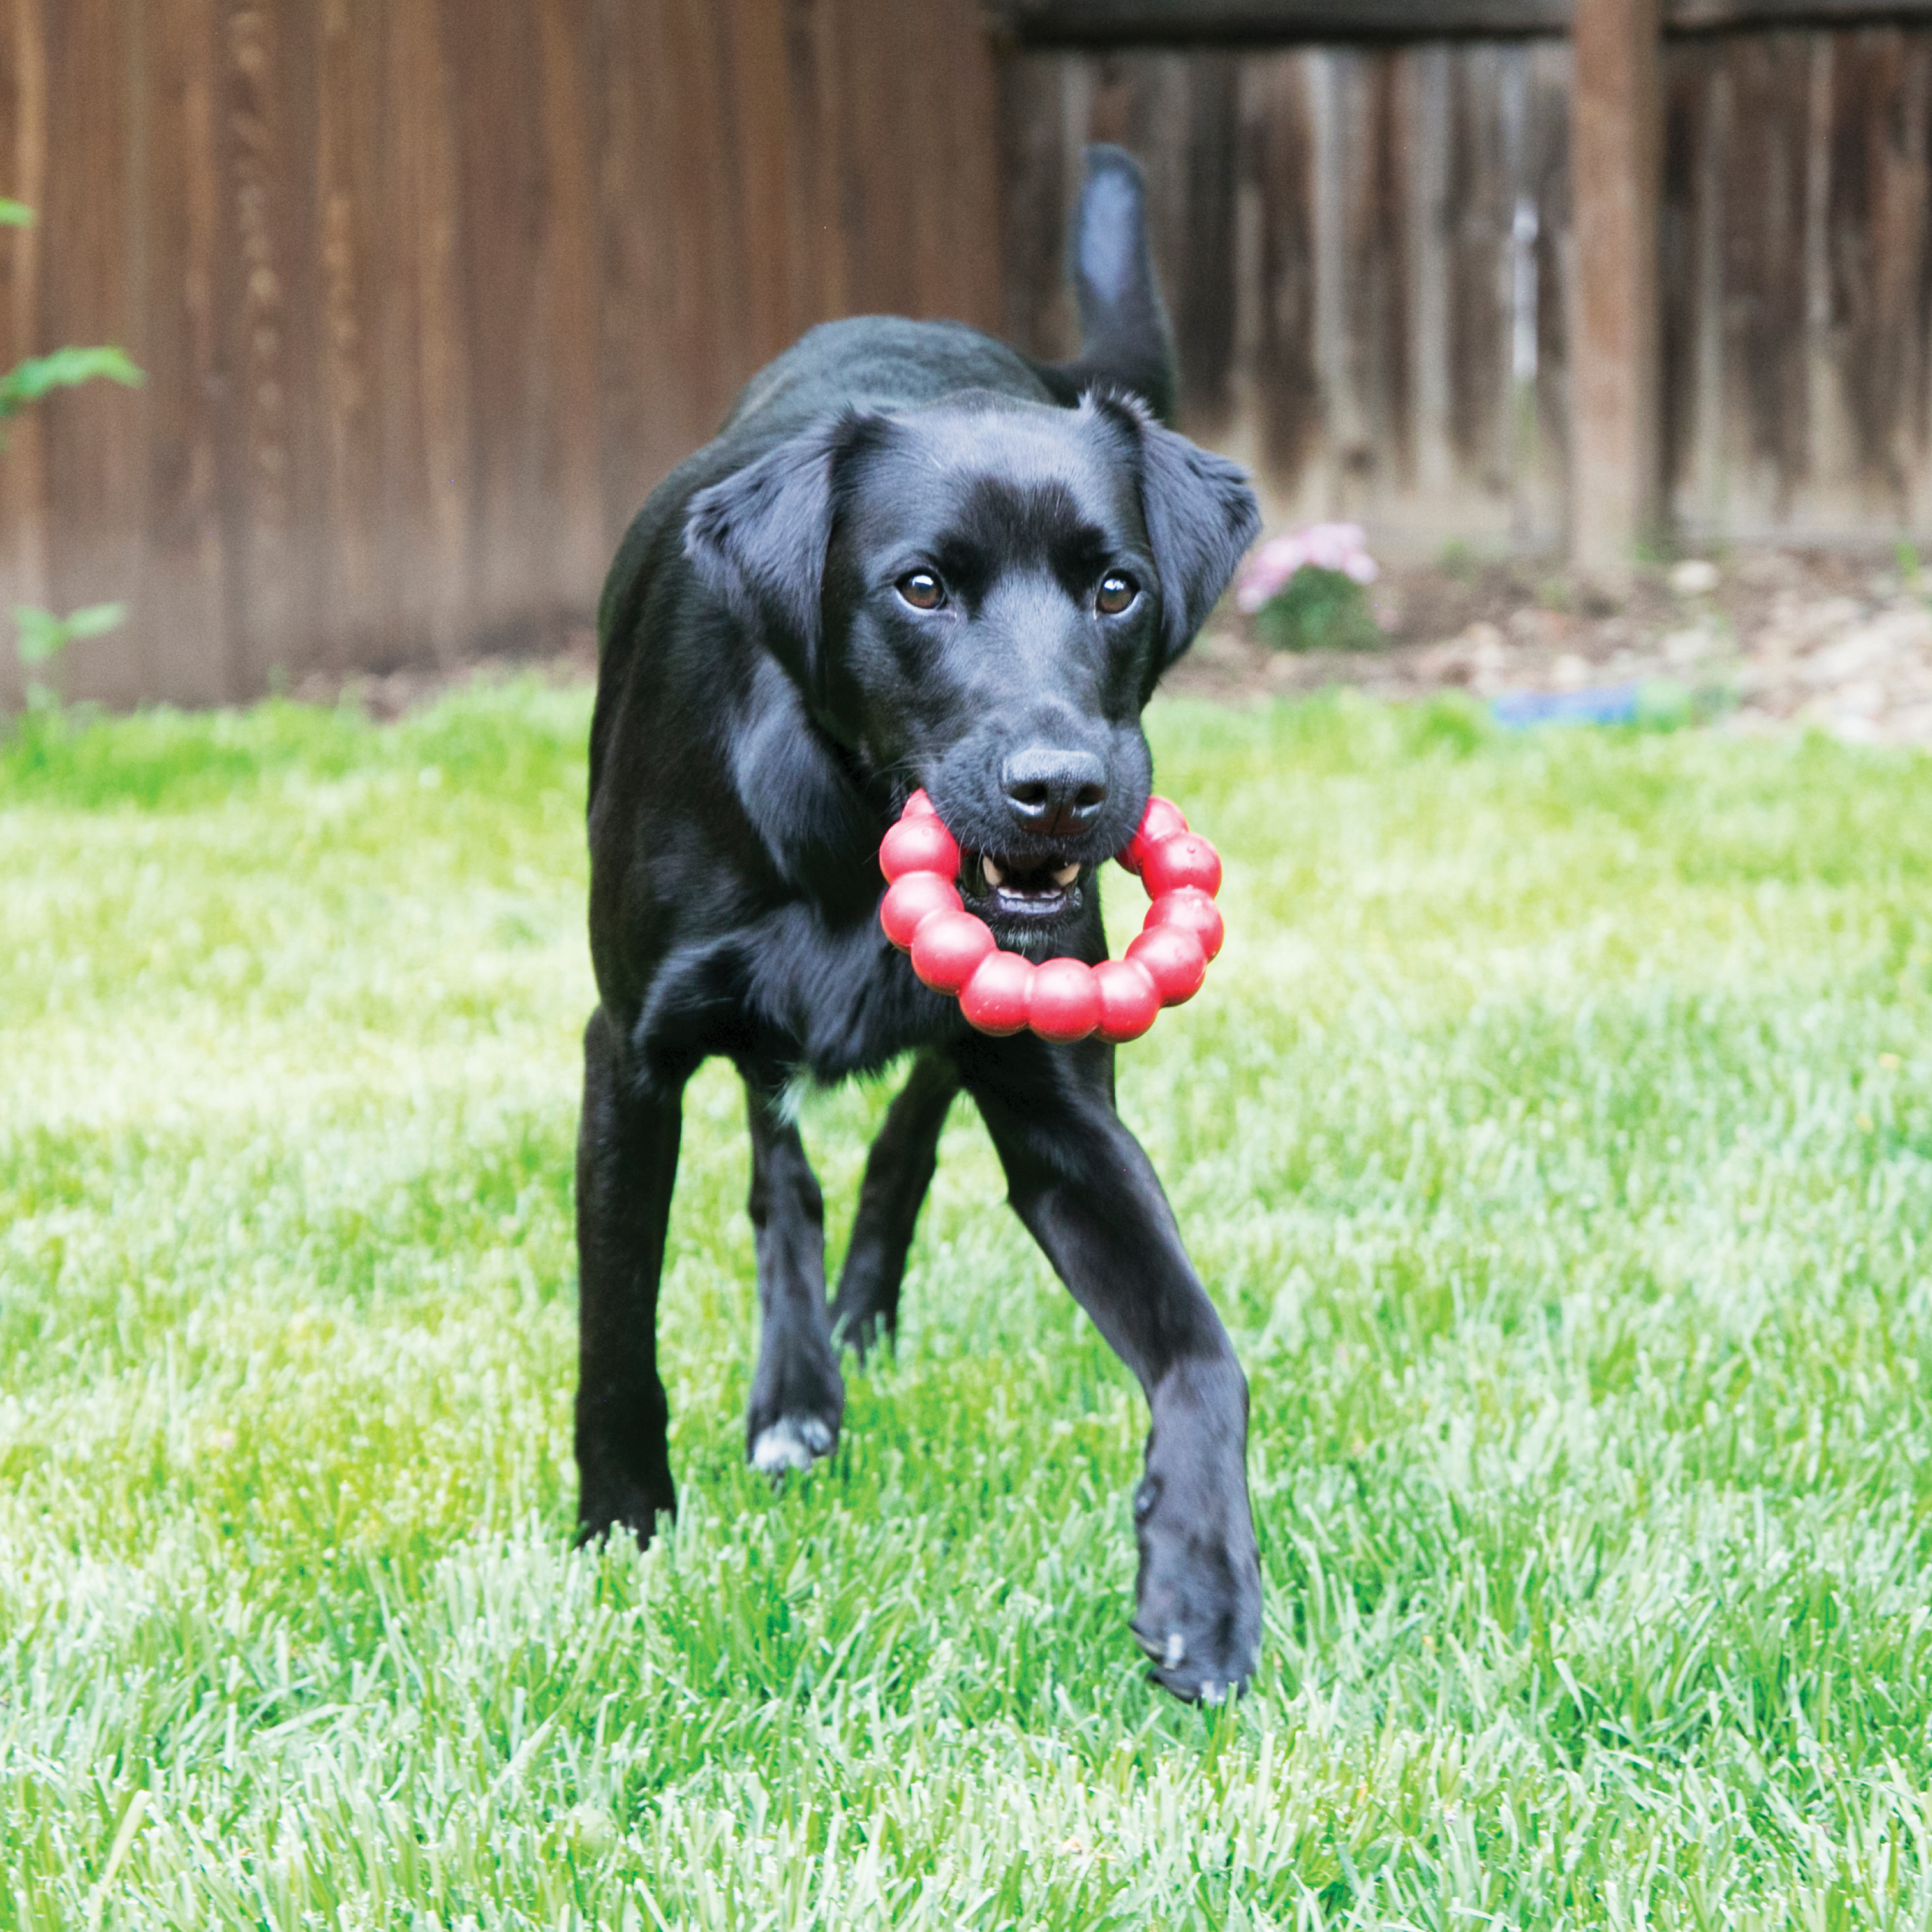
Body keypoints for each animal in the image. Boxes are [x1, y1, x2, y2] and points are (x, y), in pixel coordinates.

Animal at [580, 143, 1260, 1700]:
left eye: (1116, 586)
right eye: (923, 588)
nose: (1063, 791)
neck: (845, 815)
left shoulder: (1062, 1098)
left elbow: (1202, 1347)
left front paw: (1202, 1581)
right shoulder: (626, 1056)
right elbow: (619, 1313)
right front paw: (619, 1531)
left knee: (903, 1127)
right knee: (780, 1173)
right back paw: (796, 1395)